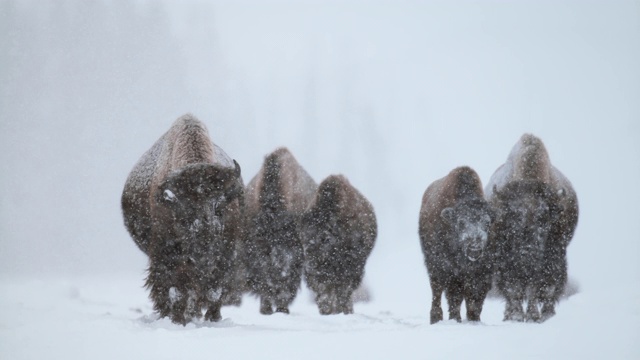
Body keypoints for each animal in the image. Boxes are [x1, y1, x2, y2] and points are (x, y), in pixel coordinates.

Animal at [120, 114, 245, 324]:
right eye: (183, 214)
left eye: (219, 208)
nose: (203, 257)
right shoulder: (165, 254)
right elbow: (174, 290)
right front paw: (177, 319)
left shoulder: (226, 253)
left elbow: (215, 290)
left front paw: (213, 318)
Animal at [302, 175, 378, 316]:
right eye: (303, 236)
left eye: (325, 238)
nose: (310, 265)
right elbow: (324, 291)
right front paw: (327, 310)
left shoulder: (351, 268)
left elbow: (342, 291)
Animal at [420, 166, 496, 324]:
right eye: (461, 223)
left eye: (487, 223)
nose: (474, 248)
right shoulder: (452, 272)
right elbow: (455, 297)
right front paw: (456, 318)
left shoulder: (483, 272)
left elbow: (475, 300)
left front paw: (474, 319)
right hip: (433, 267)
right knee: (437, 291)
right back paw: (436, 318)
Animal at [484, 133, 580, 324]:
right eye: (513, 216)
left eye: (544, 218)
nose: (527, 251)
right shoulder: (506, 261)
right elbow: (513, 289)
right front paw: (516, 316)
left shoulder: (550, 259)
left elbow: (538, 288)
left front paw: (536, 316)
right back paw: (509, 315)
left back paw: (547, 313)